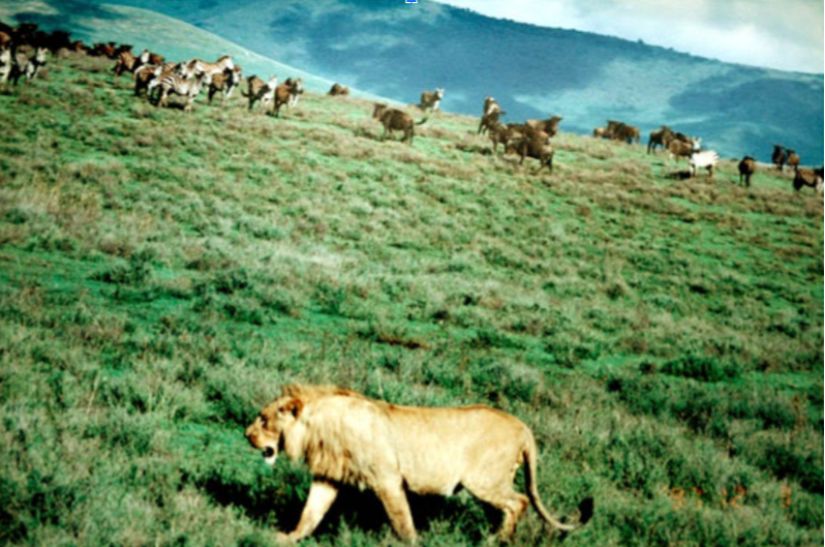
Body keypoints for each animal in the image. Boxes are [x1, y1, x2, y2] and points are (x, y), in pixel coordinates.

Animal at [245, 386, 592, 544]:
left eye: (263, 419)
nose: (246, 434)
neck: (318, 427)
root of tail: (523, 426)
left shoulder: (387, 479)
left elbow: (402, 520)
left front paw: (413, 543)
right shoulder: (329, 478)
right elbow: (311, 513)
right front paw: (286, 537)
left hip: (483, 480)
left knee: (518, 502)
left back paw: (496, 541)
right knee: (509, 507)